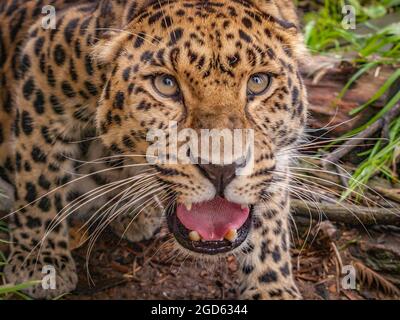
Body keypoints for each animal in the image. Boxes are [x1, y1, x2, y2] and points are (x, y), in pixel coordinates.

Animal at [0, 0, 306, 300]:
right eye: (166, 84)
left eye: (259, 82)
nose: (221, 170)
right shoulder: (43, 64)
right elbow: (39, 175)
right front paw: (39, 264)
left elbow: (272, 217)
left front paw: (271, 287)